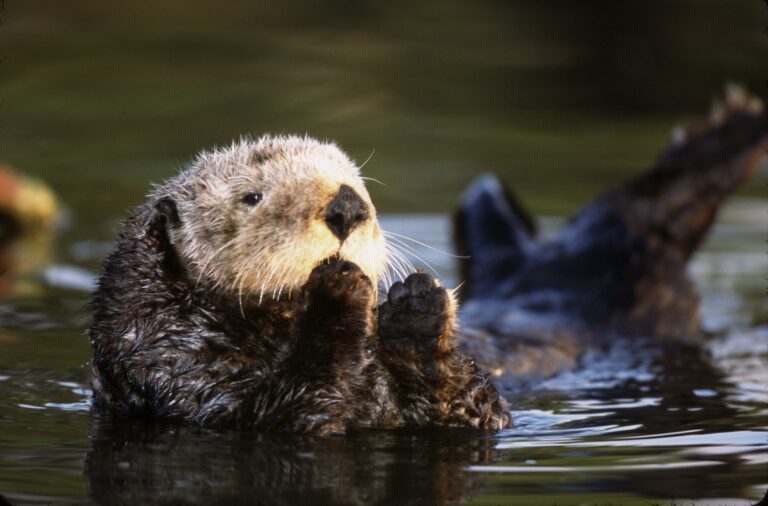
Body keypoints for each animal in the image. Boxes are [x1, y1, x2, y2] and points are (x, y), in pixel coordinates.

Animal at [88, 135, 510, 434]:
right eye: (252, 196)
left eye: (357, 185)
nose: (347, 207)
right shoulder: (173, 359)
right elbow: (275, 412)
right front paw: (335, 291)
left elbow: (483, 412)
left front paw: (416, 309)